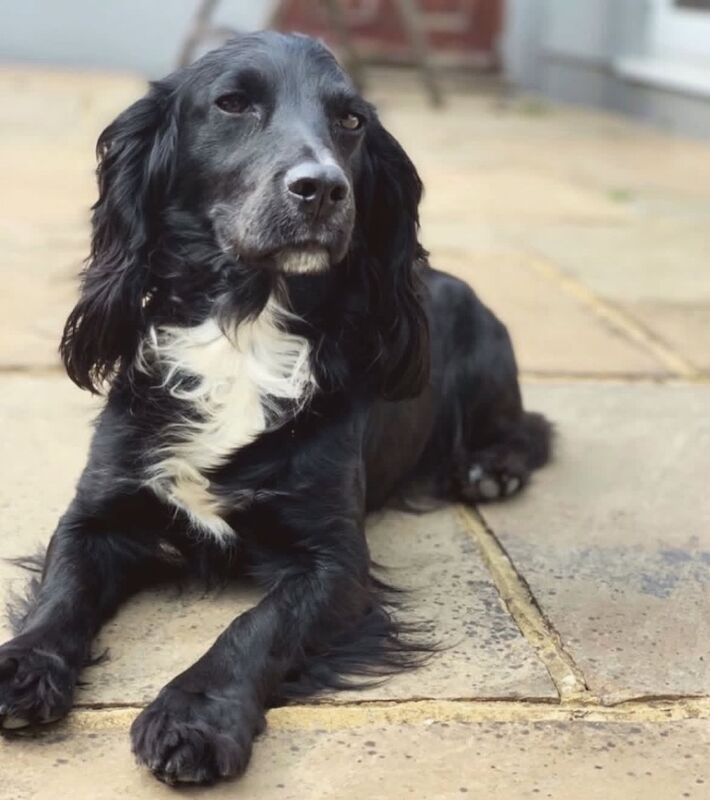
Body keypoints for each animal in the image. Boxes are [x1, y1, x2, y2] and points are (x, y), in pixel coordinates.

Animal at [0, 34, 552, 784]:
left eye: (350, 120)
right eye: (233, 103)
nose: (323, 188)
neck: (245, 327)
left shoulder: (335, 561)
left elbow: (255, 627)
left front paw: (195, 716)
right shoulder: (98, 512)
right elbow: (63, 593)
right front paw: (23, 666)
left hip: (489, 351)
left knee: (531, 429)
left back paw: (489, 470)